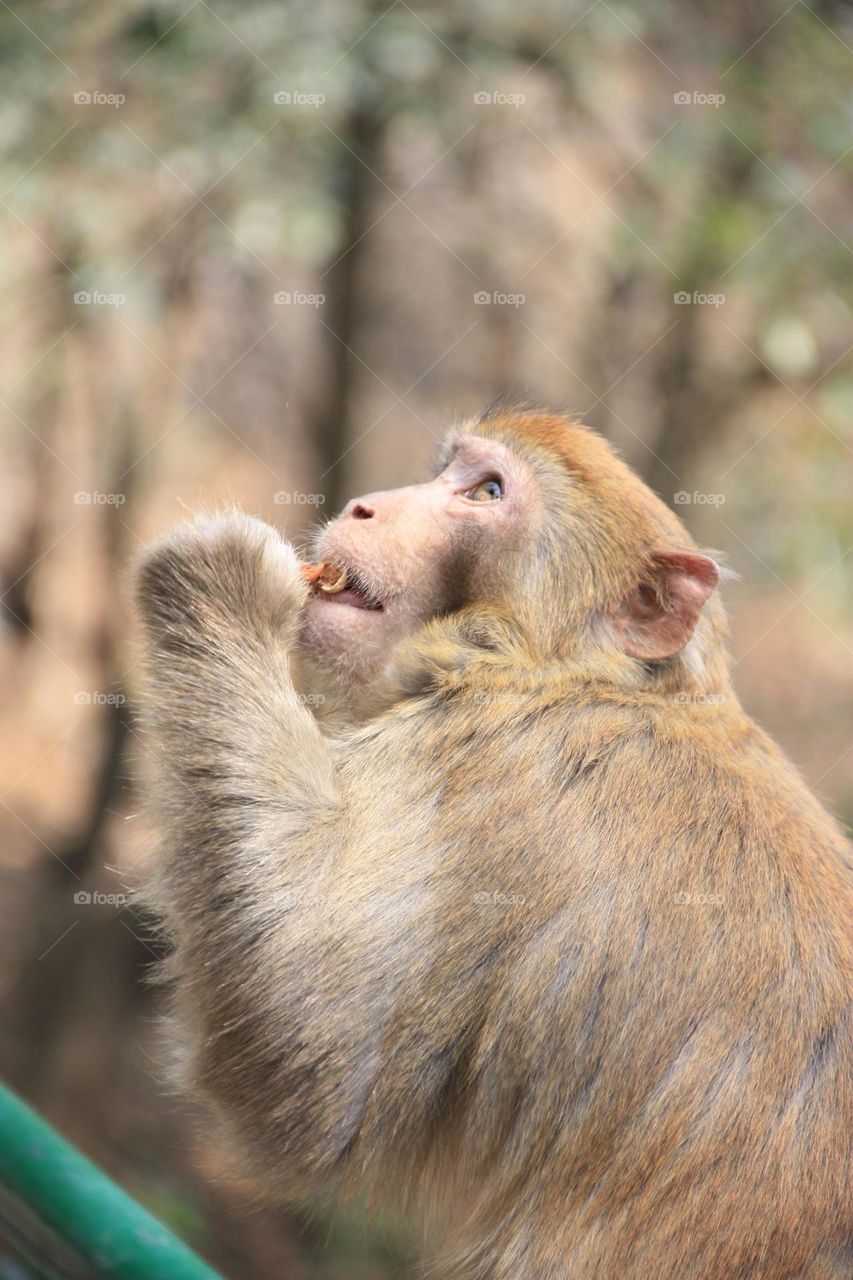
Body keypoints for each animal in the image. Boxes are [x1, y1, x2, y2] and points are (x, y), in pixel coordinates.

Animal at [134, 406, 852, 1280]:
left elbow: (306, 1071)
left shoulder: (492, 778)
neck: (570, 677)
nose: (367, 506)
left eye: (486, 492)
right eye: (446, 470)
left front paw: (220, 581)